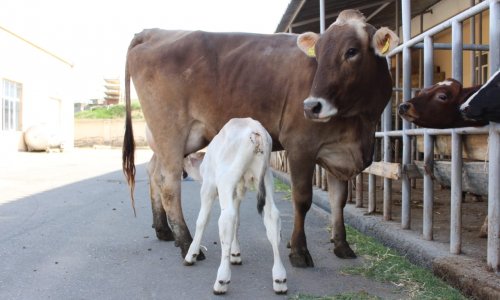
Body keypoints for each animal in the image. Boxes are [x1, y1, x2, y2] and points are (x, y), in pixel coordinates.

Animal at [124, 9, 398, 268]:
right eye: (318, 54)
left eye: (351, 51)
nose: (311, 107)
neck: (360, 124)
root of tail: (152, 32)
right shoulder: (300, 145)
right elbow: (302, 199)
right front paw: (299, 251)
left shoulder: (338, 152)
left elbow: (338, 200)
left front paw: (341, 245)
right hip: (170, 131)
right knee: (169, 184)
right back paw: (186, 243)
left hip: (174, 139)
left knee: (153, 172)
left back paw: (164, 230)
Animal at [184, 118, 288, 296]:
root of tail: (256, 130)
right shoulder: (238, 191)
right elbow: (237, 221)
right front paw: (235, 253)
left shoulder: (208, 187)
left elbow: (202, 220)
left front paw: (192, 254)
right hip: (266, 178)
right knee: (271, 217)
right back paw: (279, 278)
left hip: (226, 179)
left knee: (227, 218)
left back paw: (221, 280)